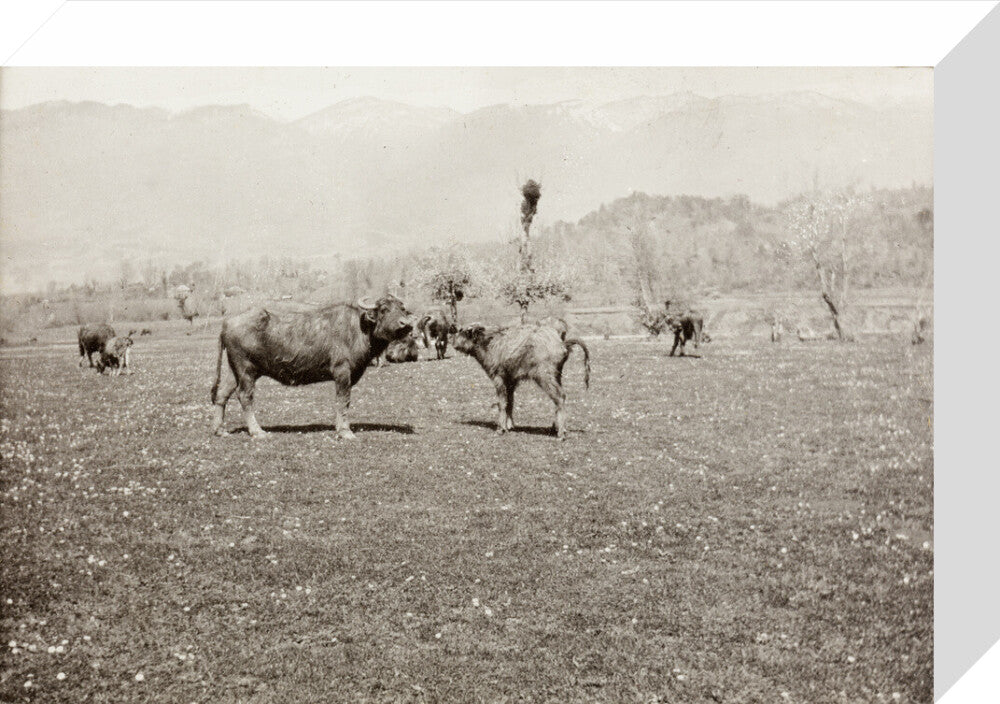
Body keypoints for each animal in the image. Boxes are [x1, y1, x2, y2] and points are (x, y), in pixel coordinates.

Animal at [210, 295, 415, 439]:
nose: (406, 325)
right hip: (247, 370)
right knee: (245, 396)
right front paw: (345, 431)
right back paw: (257, 431)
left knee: (222, 394)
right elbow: (343, 401)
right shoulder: (342, 372)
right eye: (384, 309)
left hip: (233, 370)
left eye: (402, 309)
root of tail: (227, 323)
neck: (359, 329)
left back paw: (220, 430)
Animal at [453, 323, 590, 440]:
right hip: (557, 377)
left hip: (545, 377)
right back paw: (556, 428)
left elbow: (502, 403)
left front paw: (500, 428)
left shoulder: (499, 378)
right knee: (560, 398)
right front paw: (509, 426)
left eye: (464, 331)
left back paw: (561, 433)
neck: (489, 344)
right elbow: (510, 402)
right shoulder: (510, 381)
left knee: (559, 397)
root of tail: (562, 344)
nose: (453, 341)